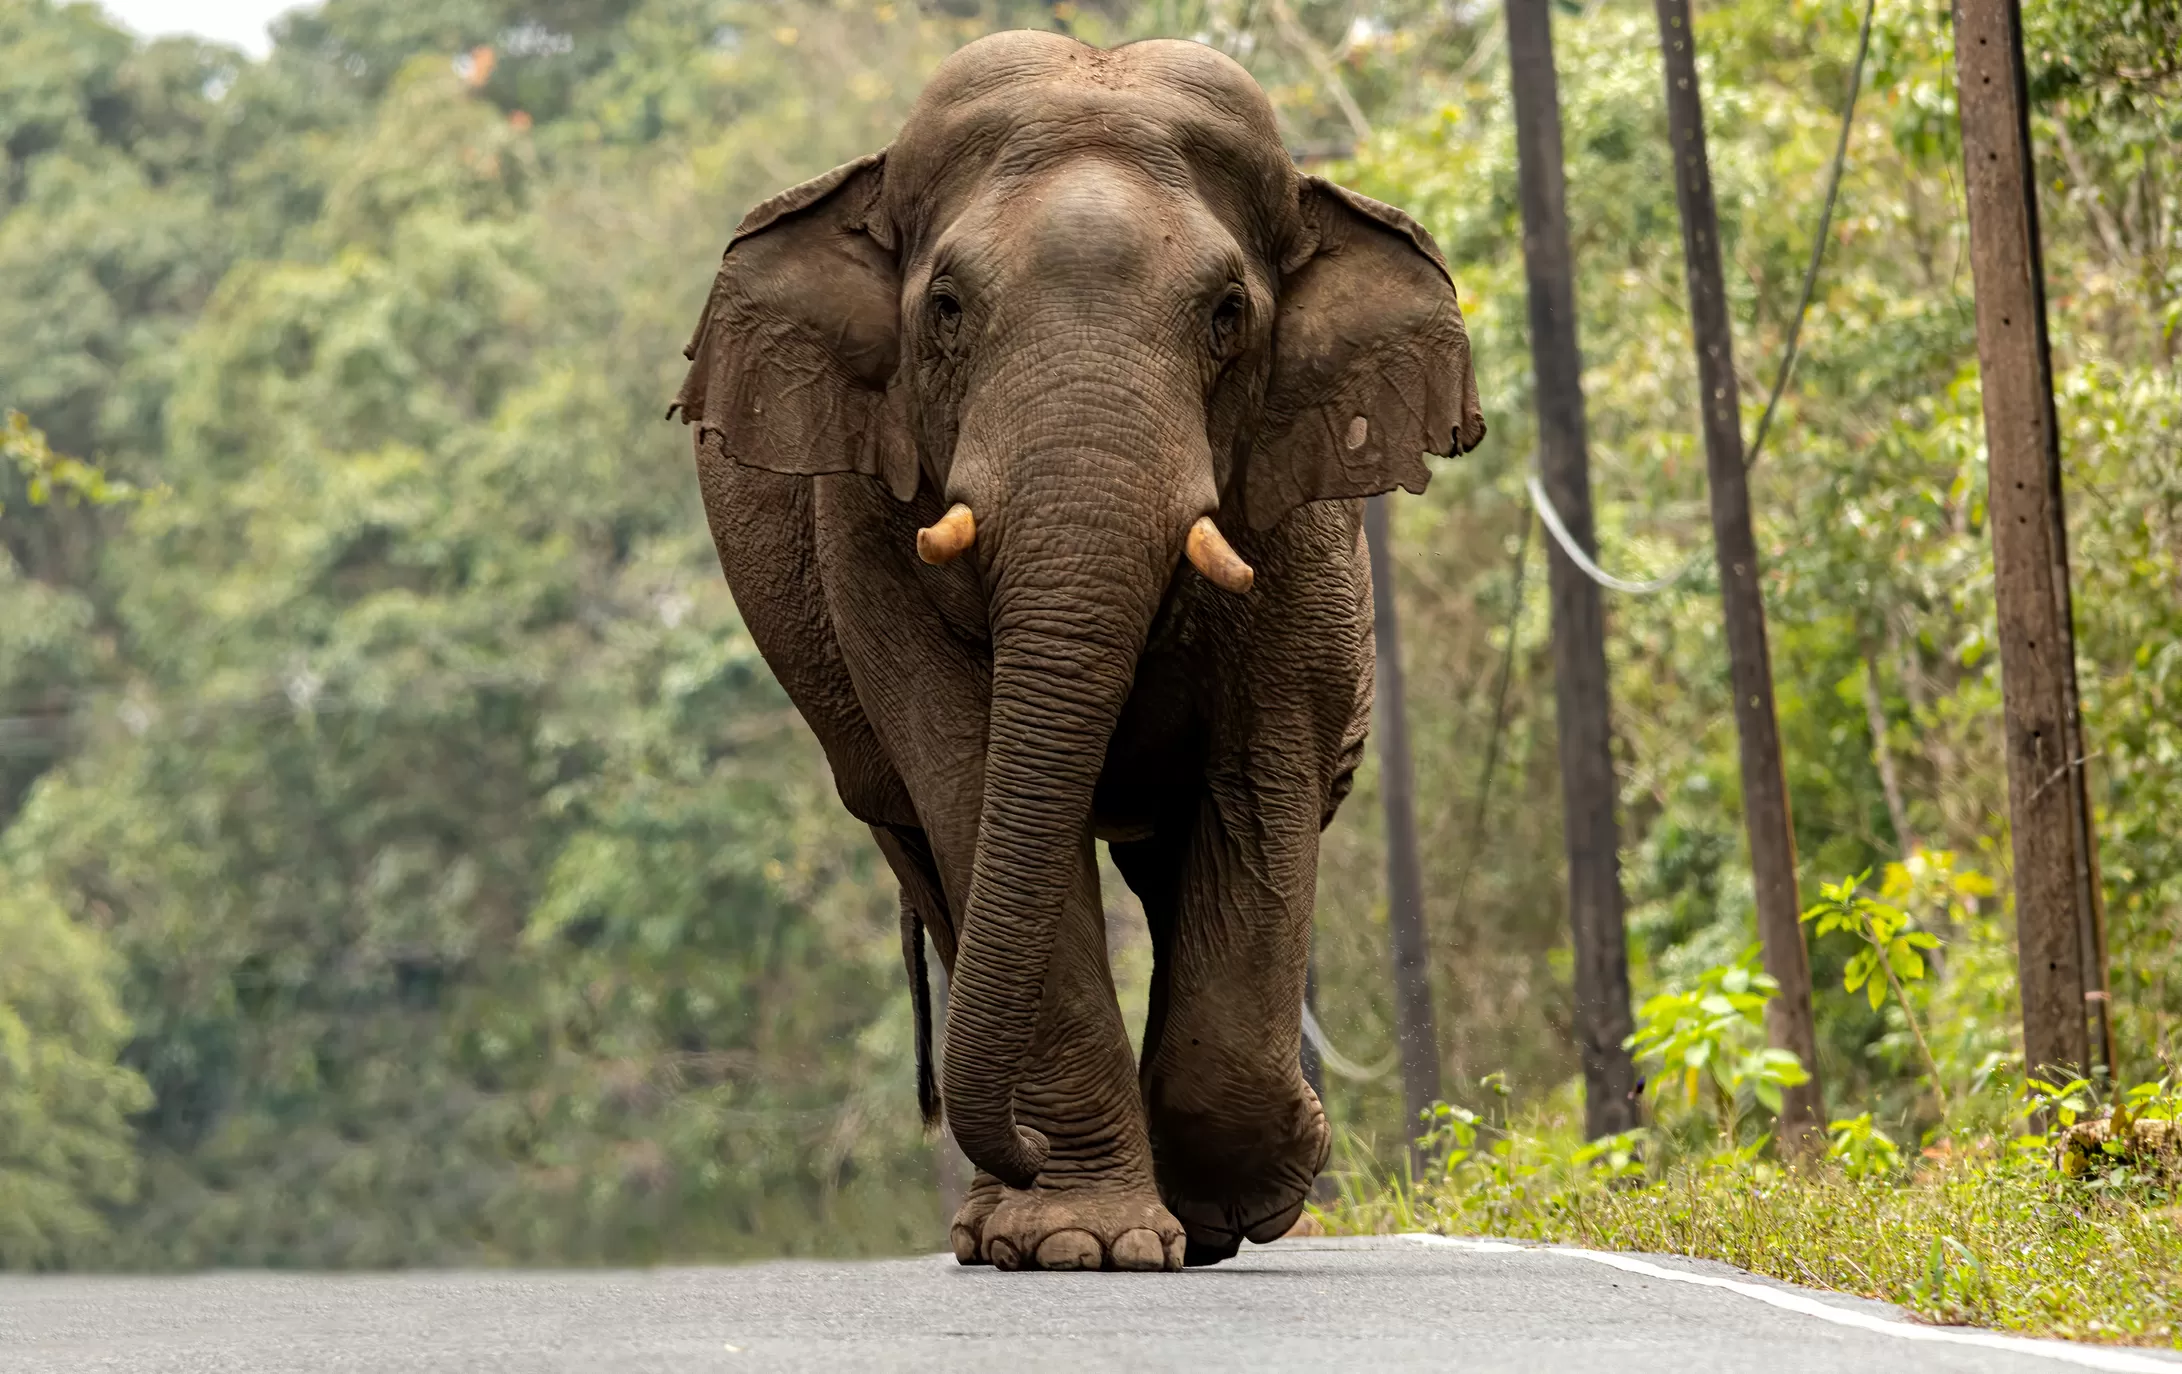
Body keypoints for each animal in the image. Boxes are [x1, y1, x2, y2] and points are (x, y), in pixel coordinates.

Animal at [669, 29, 1485, 1272]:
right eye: (946, 306)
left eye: (1227, 314)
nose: (1022, 1151)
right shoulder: (866, 517)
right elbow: (967, 775)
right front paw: (1080, 1243)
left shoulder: (1295, 514)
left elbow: (1258, 783)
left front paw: (1246, 1198)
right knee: (933, 854)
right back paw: (1000, 1224)